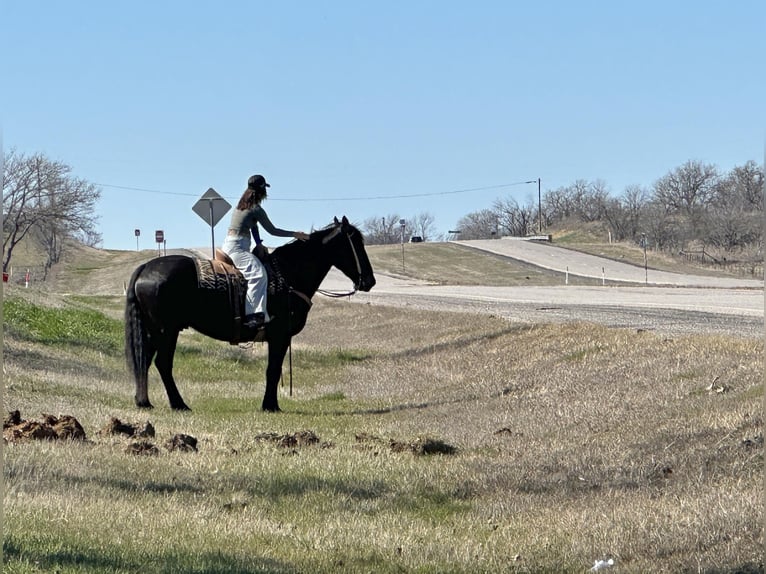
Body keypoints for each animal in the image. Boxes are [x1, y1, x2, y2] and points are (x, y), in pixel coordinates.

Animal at [124, 217, 376, 414]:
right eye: (354, 243)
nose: (369, 281)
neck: (287, 275)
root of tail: (146, 268)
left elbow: (274, 370)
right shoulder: (279, 336)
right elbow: (273, 370)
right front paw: (270, 406)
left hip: (154, 330)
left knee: (145, 360)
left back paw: (144, 402)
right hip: (167, 330)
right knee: (162, 363)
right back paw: (179, 404)